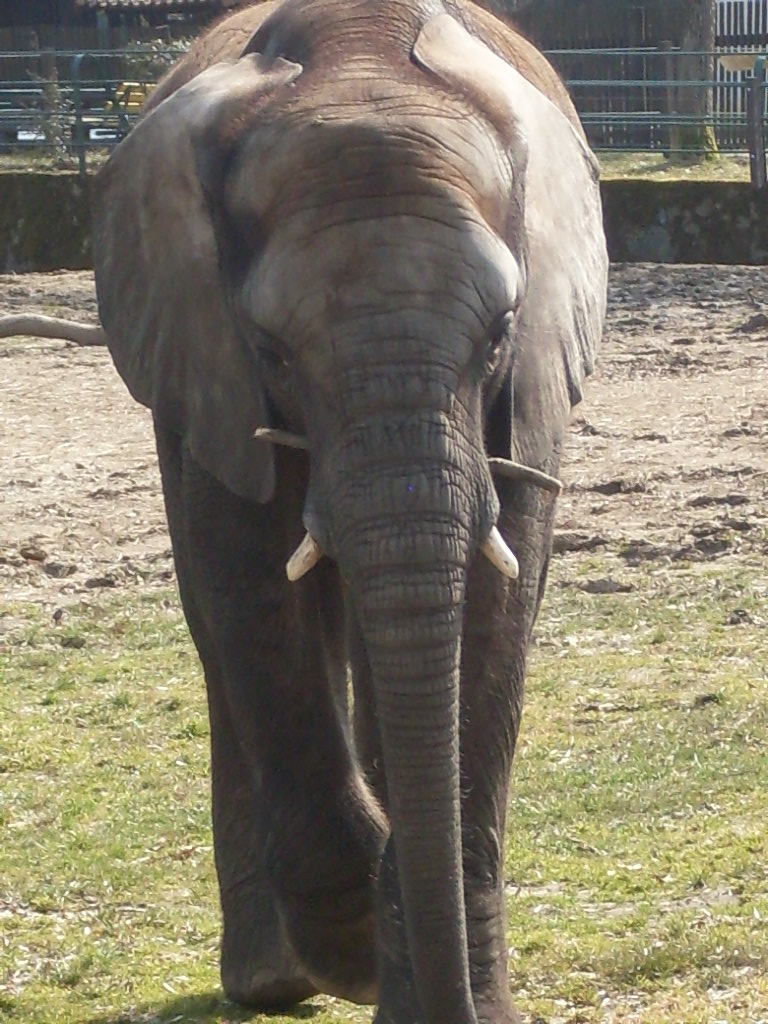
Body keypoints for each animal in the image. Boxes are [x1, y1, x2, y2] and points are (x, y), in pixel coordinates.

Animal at [89, 2, 608, 1023]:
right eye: (270, 350)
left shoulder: (527, 384)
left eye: (499, 332)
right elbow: (245, 581)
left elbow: (495, 603)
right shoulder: (202, 349)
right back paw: (272, 979)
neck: (358, 56)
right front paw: (358, 948)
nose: (451, 1005)